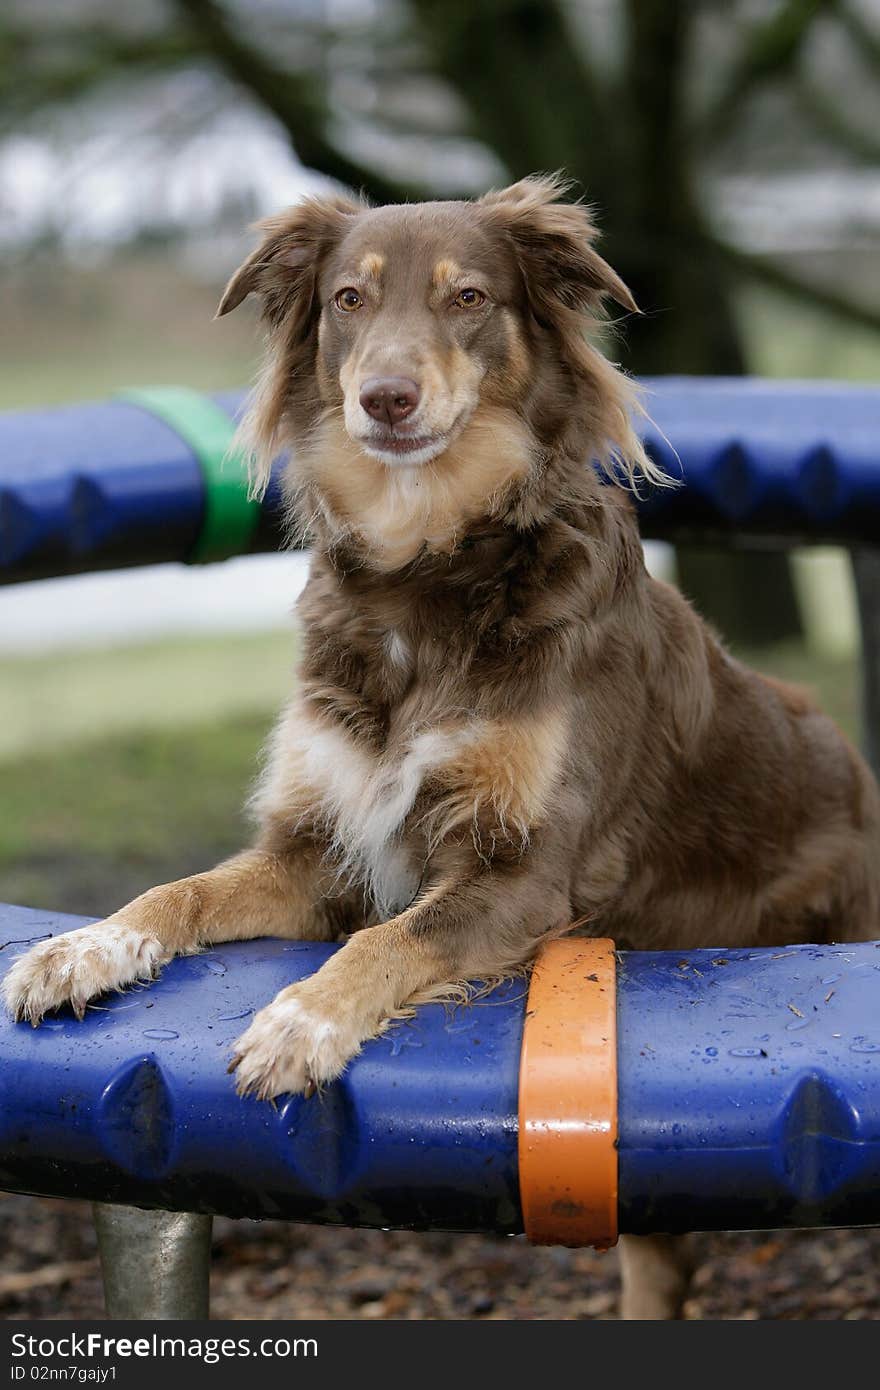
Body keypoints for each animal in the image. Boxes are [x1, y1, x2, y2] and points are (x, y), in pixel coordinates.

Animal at [6, 173, 878, 1312]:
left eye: (468, 297)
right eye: (348, 299)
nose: (385, 397)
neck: (424, 570)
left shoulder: (526, 873)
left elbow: (391, 938)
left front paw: (299, 1021)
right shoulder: (317, 850)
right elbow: (179, 892)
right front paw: (79, 949)